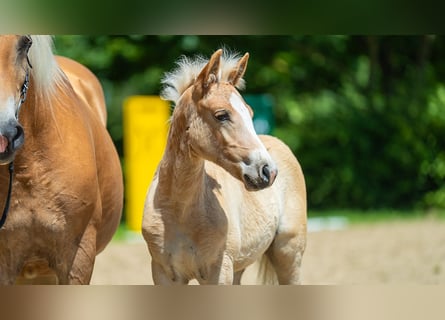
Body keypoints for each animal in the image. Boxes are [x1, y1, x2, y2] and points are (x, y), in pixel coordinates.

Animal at [141, 48, 306, 284]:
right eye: (222, 115)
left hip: (288, 253)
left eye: (250, 113)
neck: (179, 212)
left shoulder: (219, 270)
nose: (268, 171)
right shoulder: (164, 273)